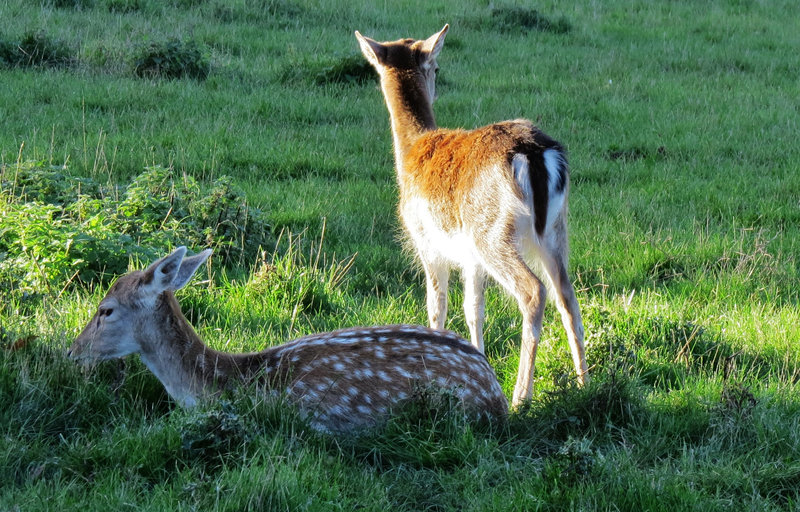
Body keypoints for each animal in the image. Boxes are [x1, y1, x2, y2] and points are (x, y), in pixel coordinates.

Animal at [356, 25, 588, 408]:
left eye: (436, 68)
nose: (437, 84)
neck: (409, 154)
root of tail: (534, 155)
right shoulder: (470, 258)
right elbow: (473, 308)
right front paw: (478, 360)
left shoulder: (427, 243)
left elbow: (437, 305)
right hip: (555, 229)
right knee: (568, 297)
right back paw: (586, 383)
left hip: (492, 232)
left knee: (534, 292)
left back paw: (521, 397)